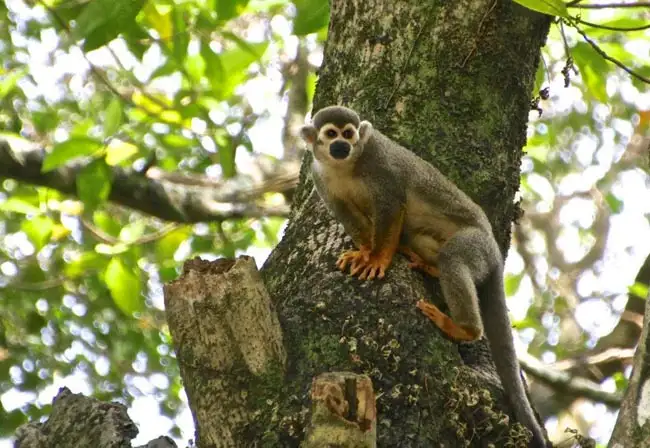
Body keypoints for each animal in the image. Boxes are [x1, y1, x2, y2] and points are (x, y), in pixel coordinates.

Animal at [298, 106, 548, 448]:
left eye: (348, 134)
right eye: (330, 135)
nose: (341, 146)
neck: (345, 167)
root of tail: (496, 252)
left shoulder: (379, 161)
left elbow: (392, 205)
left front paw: (378, 257)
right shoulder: (319, 176)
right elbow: (346, 214)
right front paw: (364, 251)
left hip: (478, 247)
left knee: (454, 257)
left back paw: (464, 328)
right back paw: (428, 265)